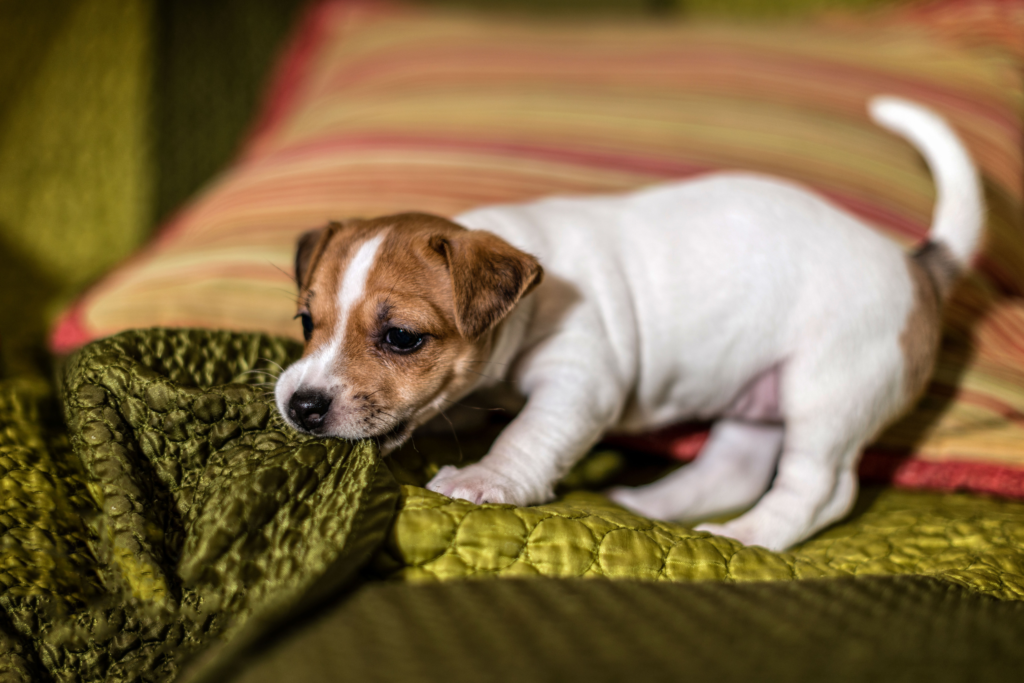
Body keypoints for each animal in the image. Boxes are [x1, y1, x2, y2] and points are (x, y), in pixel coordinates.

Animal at [274, 98, 983, 552]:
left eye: (401, 338)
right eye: (307, 321)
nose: (300, 405)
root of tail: (914, 266)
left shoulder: (580, 379)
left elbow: (530, 433)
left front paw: (485, 479)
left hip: (828, 392)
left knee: (818, 489)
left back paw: (749, 536)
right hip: (759, 396)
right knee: (733, 468)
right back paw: (649, 504)